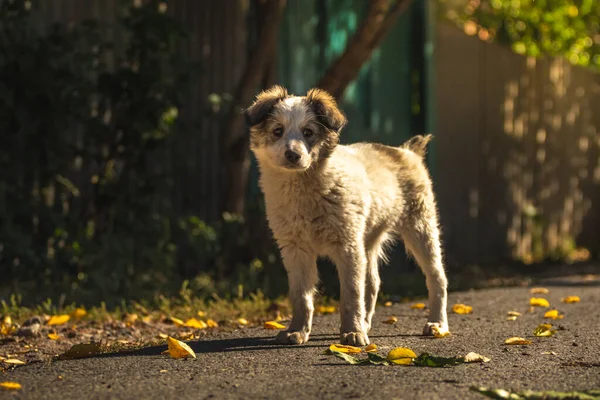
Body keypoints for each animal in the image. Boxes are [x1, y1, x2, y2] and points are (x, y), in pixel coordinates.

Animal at [244, 86, 446, 346]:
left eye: (308, 132)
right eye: (277, 131)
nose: (292, 155)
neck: (304, 189)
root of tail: (406, 152)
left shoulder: (347, 246)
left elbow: (351, 294)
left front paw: (352, 333)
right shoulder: (295, 249)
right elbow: (301, 295)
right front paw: (296, 331)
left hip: (420, 228)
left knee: (437, 277)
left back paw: (437, 324)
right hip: (368, 239)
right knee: (372, 283)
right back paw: (366, 323)